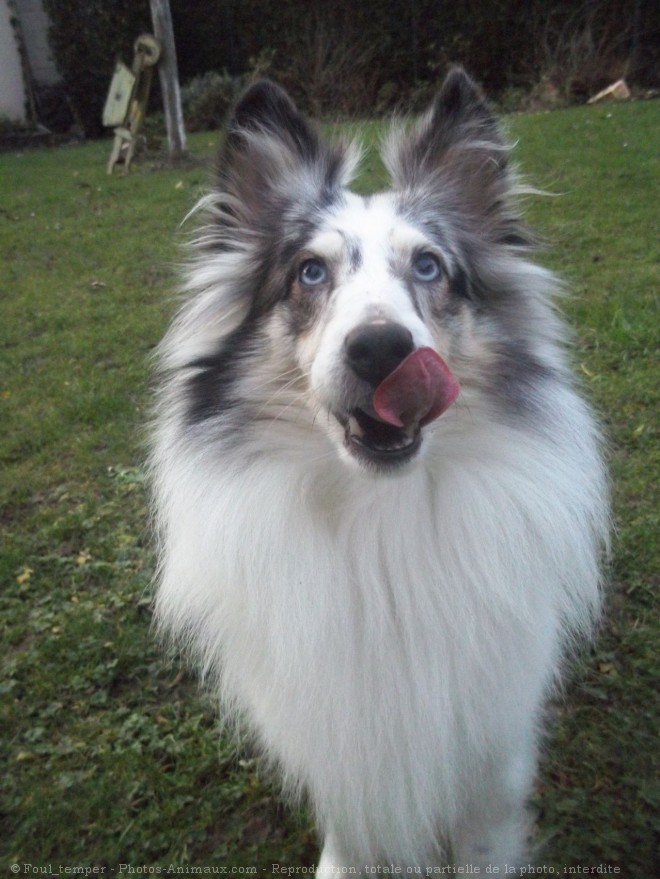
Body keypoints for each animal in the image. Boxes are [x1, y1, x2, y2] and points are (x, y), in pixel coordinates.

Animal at [150, 69, 608, 872]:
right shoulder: (339, 737)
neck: (378, 517)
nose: (381, 350)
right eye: (309, 271)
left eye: (428, 265)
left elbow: (483, 844)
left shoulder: (492, 752)